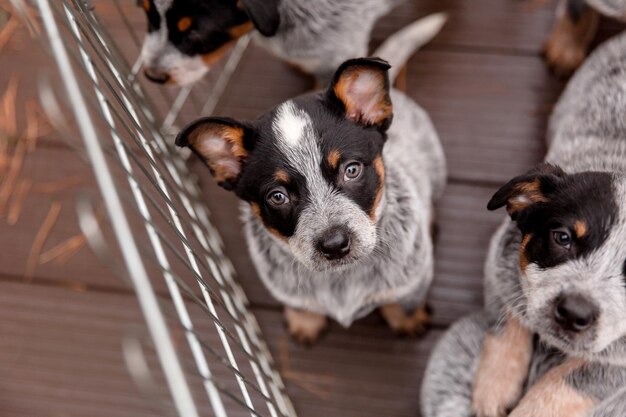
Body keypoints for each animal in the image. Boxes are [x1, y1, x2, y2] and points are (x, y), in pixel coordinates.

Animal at [177, 15, 448, 342]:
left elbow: (404, 299)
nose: (334, 244)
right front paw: (305, 320)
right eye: (277, 196)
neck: (342, 280)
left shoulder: (414, 276)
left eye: (352, 170)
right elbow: (298, 302)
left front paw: (406, 319)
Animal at [416, 31, 626, 416]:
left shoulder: (615, 367)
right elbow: (508, 318)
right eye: (562, 238)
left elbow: (572, 380)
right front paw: (494, 386)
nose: (573, 312)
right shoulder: (501, 262)